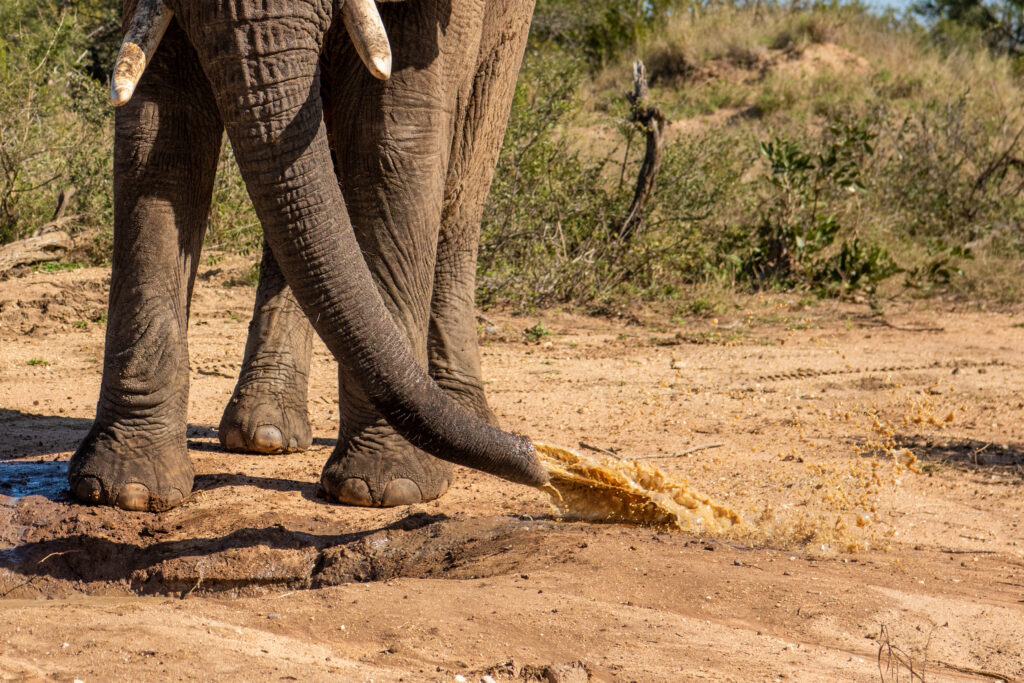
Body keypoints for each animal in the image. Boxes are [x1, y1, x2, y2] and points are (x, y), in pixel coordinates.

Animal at [67, 0, 548, 511]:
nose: (535, 458)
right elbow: (159, 132)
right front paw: (125, 491)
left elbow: (393, 133)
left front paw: (389, 490)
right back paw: (266, 433)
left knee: (464, 178)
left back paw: (462, 410)